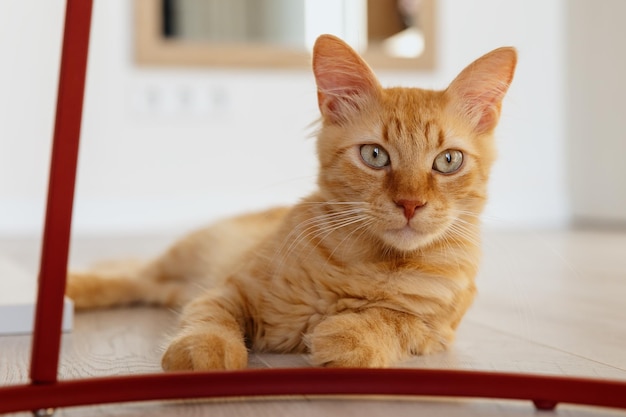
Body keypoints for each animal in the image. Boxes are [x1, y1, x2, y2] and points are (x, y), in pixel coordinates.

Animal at [67, 34, 516, 368]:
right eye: (375, 155)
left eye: (448, 161)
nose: (410, 204)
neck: (372, 263)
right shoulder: (231, 288)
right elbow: (210, 318)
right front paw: (205, 351)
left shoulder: (436, 329)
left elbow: (388, 320)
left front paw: (344, 334)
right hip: (183, 260)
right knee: (127, 275)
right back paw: (68, 291)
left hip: (172, 285)